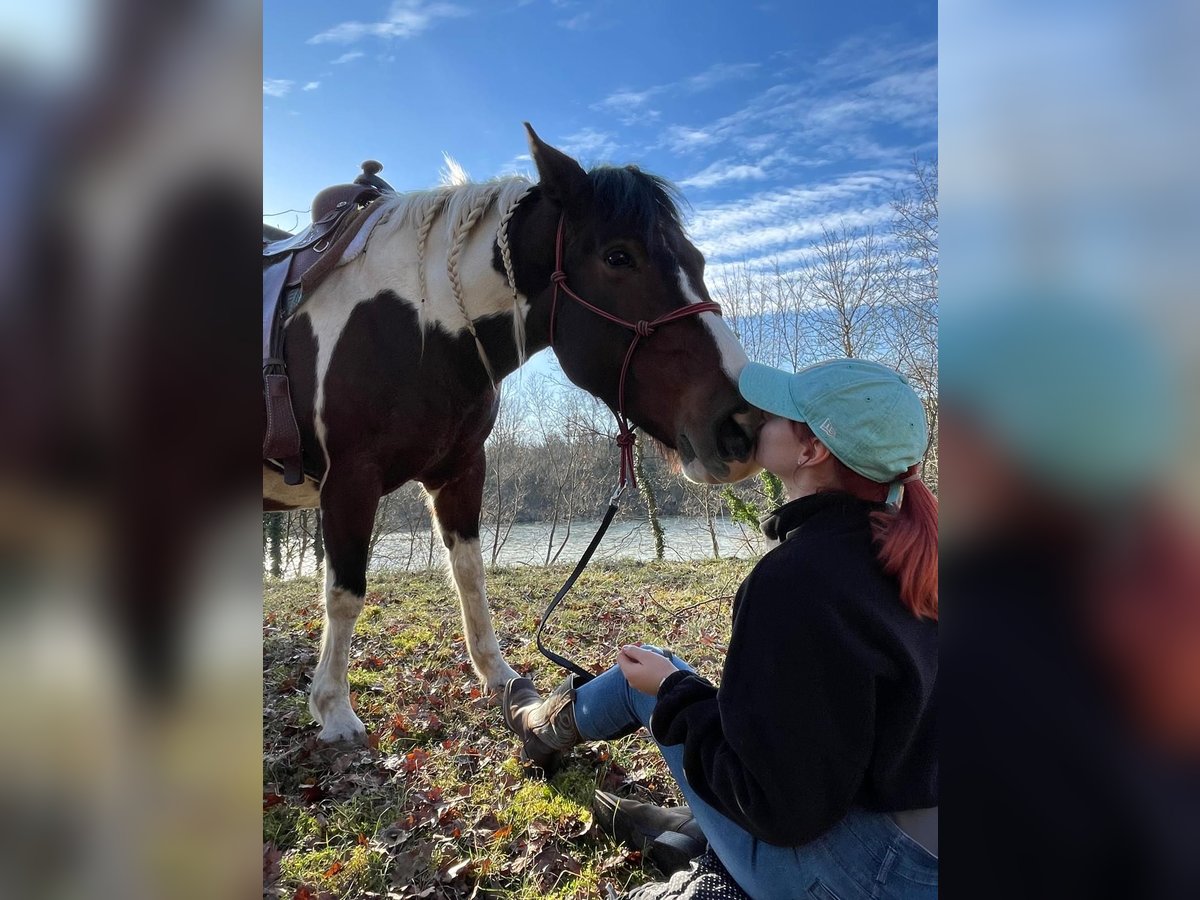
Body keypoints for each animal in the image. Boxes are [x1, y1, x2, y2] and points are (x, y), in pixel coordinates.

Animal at [267, 127, 763, 748]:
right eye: (618, 257)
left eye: (696, 260)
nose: (742, 424)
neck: (416, 326)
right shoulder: (349, 480)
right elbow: (345, 592)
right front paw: (334, 709)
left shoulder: (461, 471)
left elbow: (470, 575)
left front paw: (498, 676)